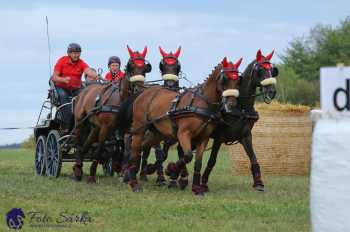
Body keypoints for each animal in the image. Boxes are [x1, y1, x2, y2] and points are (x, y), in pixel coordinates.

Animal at [73, 45, 151, 183]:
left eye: (144, 69)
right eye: (131, 66)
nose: (140, 89)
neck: (122, 100)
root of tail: (84, 90)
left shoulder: (127, 129)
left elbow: (126, 150)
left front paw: (124, 172)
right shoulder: (105, 127)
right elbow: (99, 149)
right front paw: (92, 176)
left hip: (95, 127)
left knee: (87, 144)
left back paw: (78, 166)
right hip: (80, 123)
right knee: (78, 143)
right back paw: (77, 170)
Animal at [127, 57, 242, 195]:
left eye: (238, 80)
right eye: (224, 79)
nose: (231, 105)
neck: (202, 103)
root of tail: (144, 93)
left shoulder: (203, 138)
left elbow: (198, 163)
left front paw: (197, 188)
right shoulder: (183, 134)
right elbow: (187, 156)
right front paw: (170, 169)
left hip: (157, 133)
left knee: (144, 148)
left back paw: (140, 170)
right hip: (139, 129)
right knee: (135, 150)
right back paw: (134, 183)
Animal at [200, 49, 278, 192]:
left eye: (272, 70)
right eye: (260, 69)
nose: (272, 91)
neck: (240, 108)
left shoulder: (245, 136)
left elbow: (253, 158)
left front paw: (259, 183)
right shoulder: (219, 138)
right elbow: (212, 160)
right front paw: (203, 182)